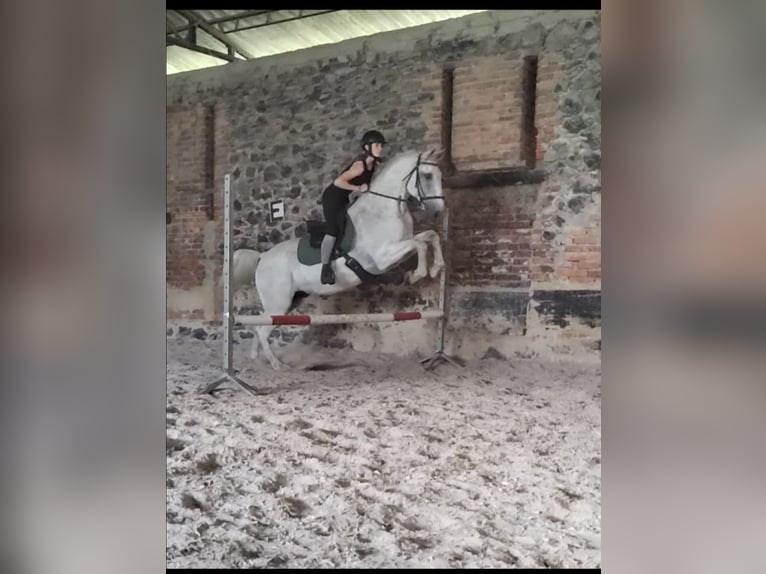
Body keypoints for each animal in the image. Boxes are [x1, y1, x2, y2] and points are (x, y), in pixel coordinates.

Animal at [246, 148, 450, 372]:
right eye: (428, 176)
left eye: (440, 176)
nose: (438, 210)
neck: (385, 210)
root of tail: (262, 257)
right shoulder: (383, 257)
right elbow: (420, 244)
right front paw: (418, 274)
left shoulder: (399, 248)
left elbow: (430, 236)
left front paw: (436, 267)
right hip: (279, 303)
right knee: (262, 331)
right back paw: (277, 365)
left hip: (290, 300)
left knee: (258, 325)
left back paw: (256, 360)